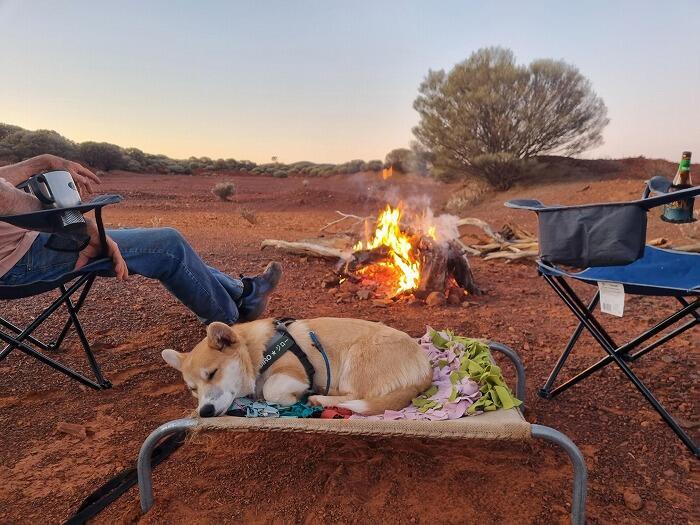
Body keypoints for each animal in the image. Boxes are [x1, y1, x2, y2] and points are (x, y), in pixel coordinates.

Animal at [162, 318, 432, 416]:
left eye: (212, 373)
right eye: (192, 389)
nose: (204, 412)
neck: (255, 353)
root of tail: (426, 372)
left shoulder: (293, 372)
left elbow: (271, 389)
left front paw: (297, 396)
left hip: (355, 359)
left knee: (355, 396)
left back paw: (319, 397)